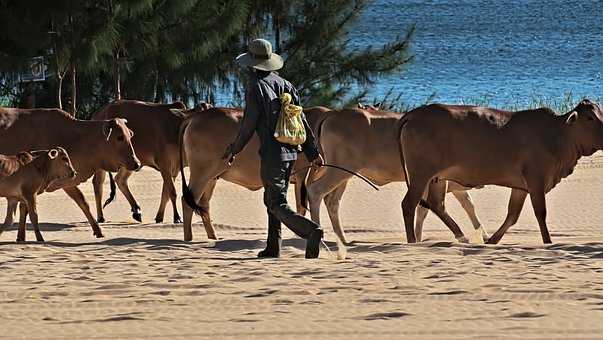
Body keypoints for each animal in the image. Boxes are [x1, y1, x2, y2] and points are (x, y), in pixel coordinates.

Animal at [0, 107, 140, 238]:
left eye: (130, 135)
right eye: (120, 137)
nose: (137, 163)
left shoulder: (67, 182)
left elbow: (83, 202)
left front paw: (98, 230)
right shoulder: (29, 187)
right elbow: (25, 209)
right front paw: (22, 236)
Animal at [175, 106, 330, 242]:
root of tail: (195, 117)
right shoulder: (302, 176)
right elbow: (301, 207)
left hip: (211, 178)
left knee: (203, 204)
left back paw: (213, 236)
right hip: (201, 174)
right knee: (187, 201)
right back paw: (189, 238)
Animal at [304, 107, 484, 243]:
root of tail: (333, 113)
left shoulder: (450, 185)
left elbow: (468, 205)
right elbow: (427, 209)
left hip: (343, 174)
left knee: (332, 201)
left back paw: (342, 239)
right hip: (339, 170)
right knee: (315, 191)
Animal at [396, 99, 603, 244]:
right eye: (589, 118)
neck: (557, 134)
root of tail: (413, 114)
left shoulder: (521, 186)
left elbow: (512, 215)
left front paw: (493, 240)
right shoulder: (536, 179)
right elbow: (540, 212)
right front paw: (548, 242)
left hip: (437, 178)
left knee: (436, 204)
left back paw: (463, 237)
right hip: (420, 175)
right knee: (409, 204)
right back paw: (412, 241)